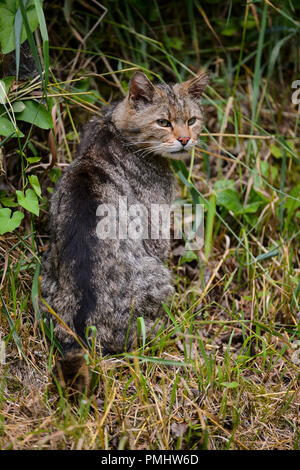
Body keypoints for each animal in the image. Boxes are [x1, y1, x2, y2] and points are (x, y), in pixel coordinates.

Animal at [41, 70, 209, 390]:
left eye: (192, 119)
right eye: (164, 122)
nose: (185, 139)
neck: (114, 128)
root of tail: (83, 335)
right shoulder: (156, 230)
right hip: (159, 278)